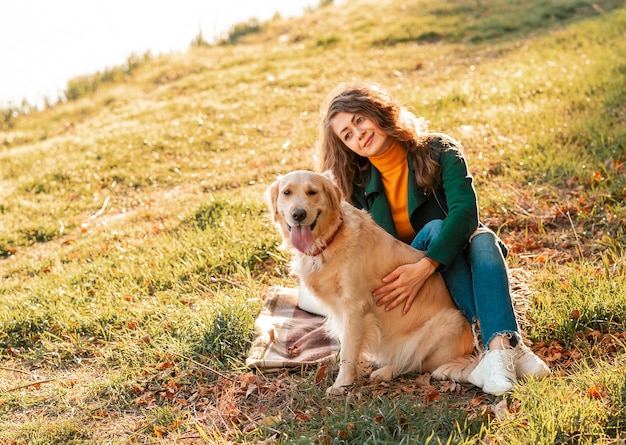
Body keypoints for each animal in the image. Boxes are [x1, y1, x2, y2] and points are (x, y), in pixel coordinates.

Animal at [266, 169, 476, 392]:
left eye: (312, 192)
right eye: (287, 192)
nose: (298, 214)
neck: (329, 240)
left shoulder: (354, 307)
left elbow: (348, 350)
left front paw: (341, 384)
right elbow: (348, 344)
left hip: (445, 324)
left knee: (415, 362)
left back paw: (385, 371)